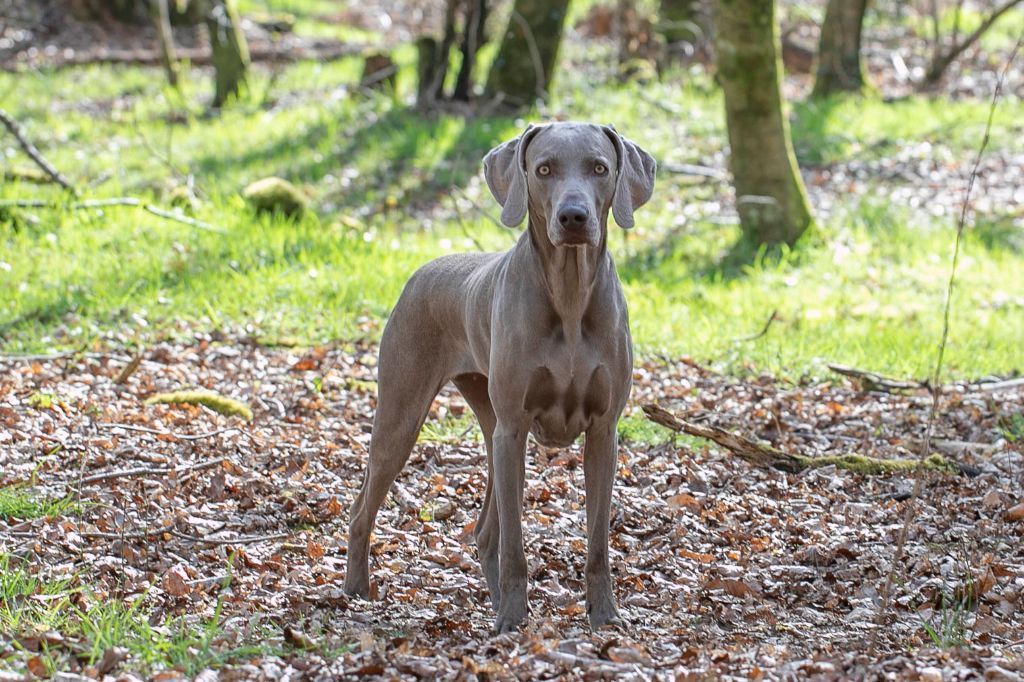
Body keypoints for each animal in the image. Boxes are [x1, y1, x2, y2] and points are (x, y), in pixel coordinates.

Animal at [346, 122, 655, 630]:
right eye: (544, 169)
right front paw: (513, 619)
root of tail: (421, 270)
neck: (569, 298)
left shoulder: (603, 433)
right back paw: (355, 590)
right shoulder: (514, 428)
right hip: (405, 414)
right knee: (364, 506)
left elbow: (597, 542)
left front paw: (605, 616)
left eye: (599, 168)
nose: (573, 217)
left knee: (485, 530)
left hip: (491, 427)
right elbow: (515, 544)